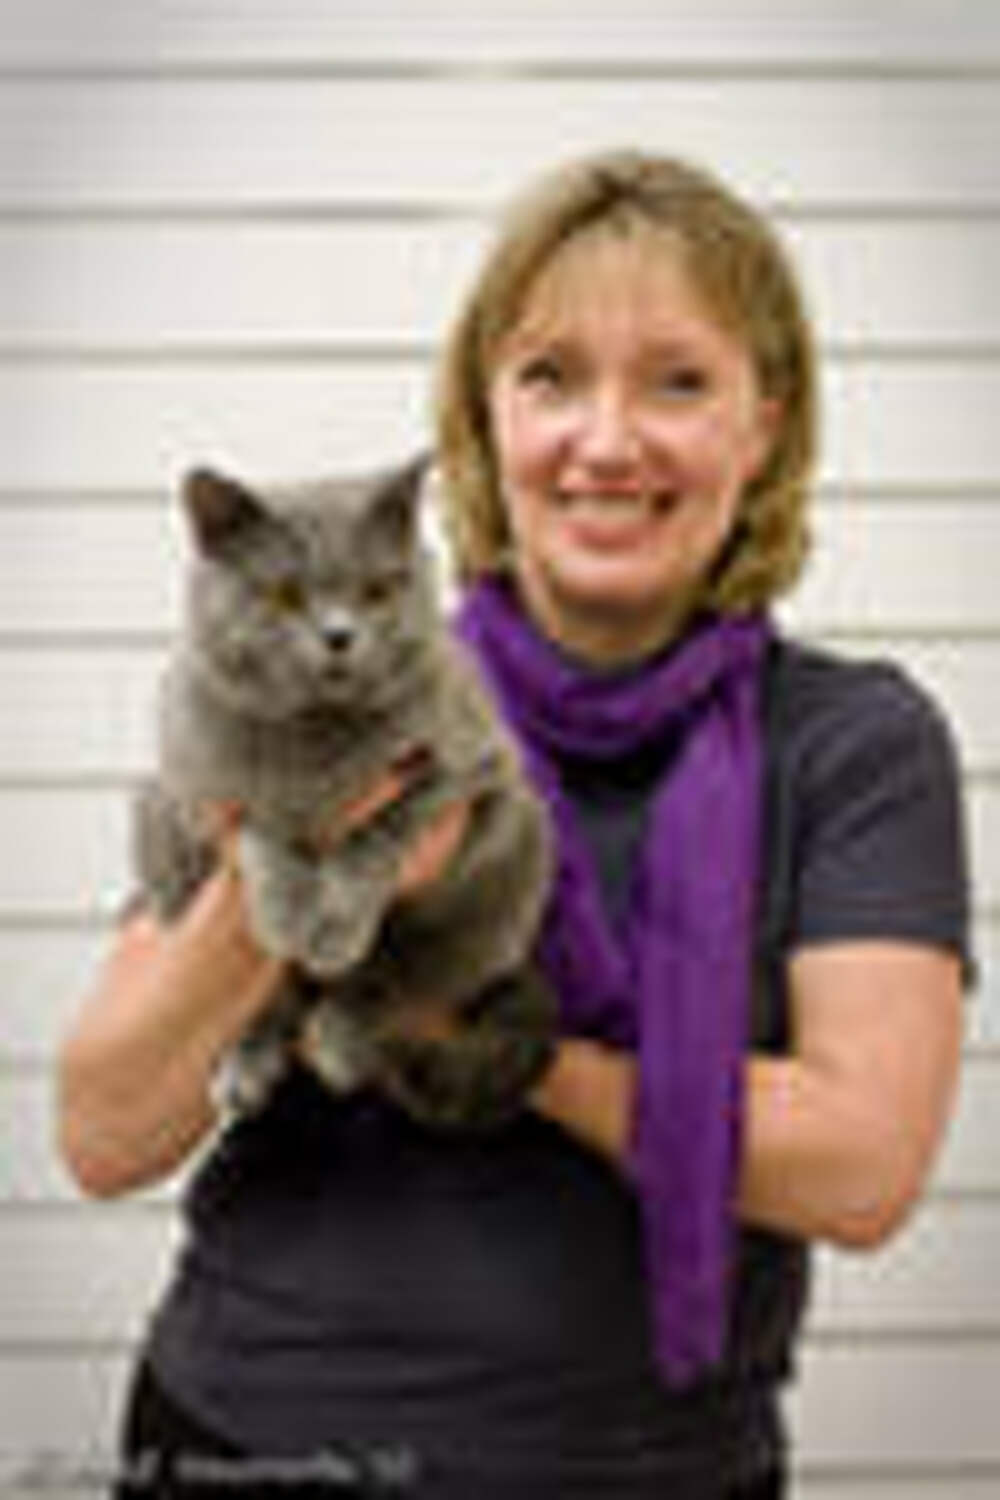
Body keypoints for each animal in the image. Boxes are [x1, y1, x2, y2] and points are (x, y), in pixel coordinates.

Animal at [133, 456, 556, 1128]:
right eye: (284, 594)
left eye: (377, 590)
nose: (339, 635)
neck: (321, 741)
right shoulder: (196, 790)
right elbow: (261, 829)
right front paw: (286, 910)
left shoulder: (471, 771)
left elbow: (376, 833)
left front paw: (331, 925)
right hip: (154, 831)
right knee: (269, 1001)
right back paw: (246, 1063)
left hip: (513, 865)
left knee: (404, 977)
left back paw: (341, 1034)